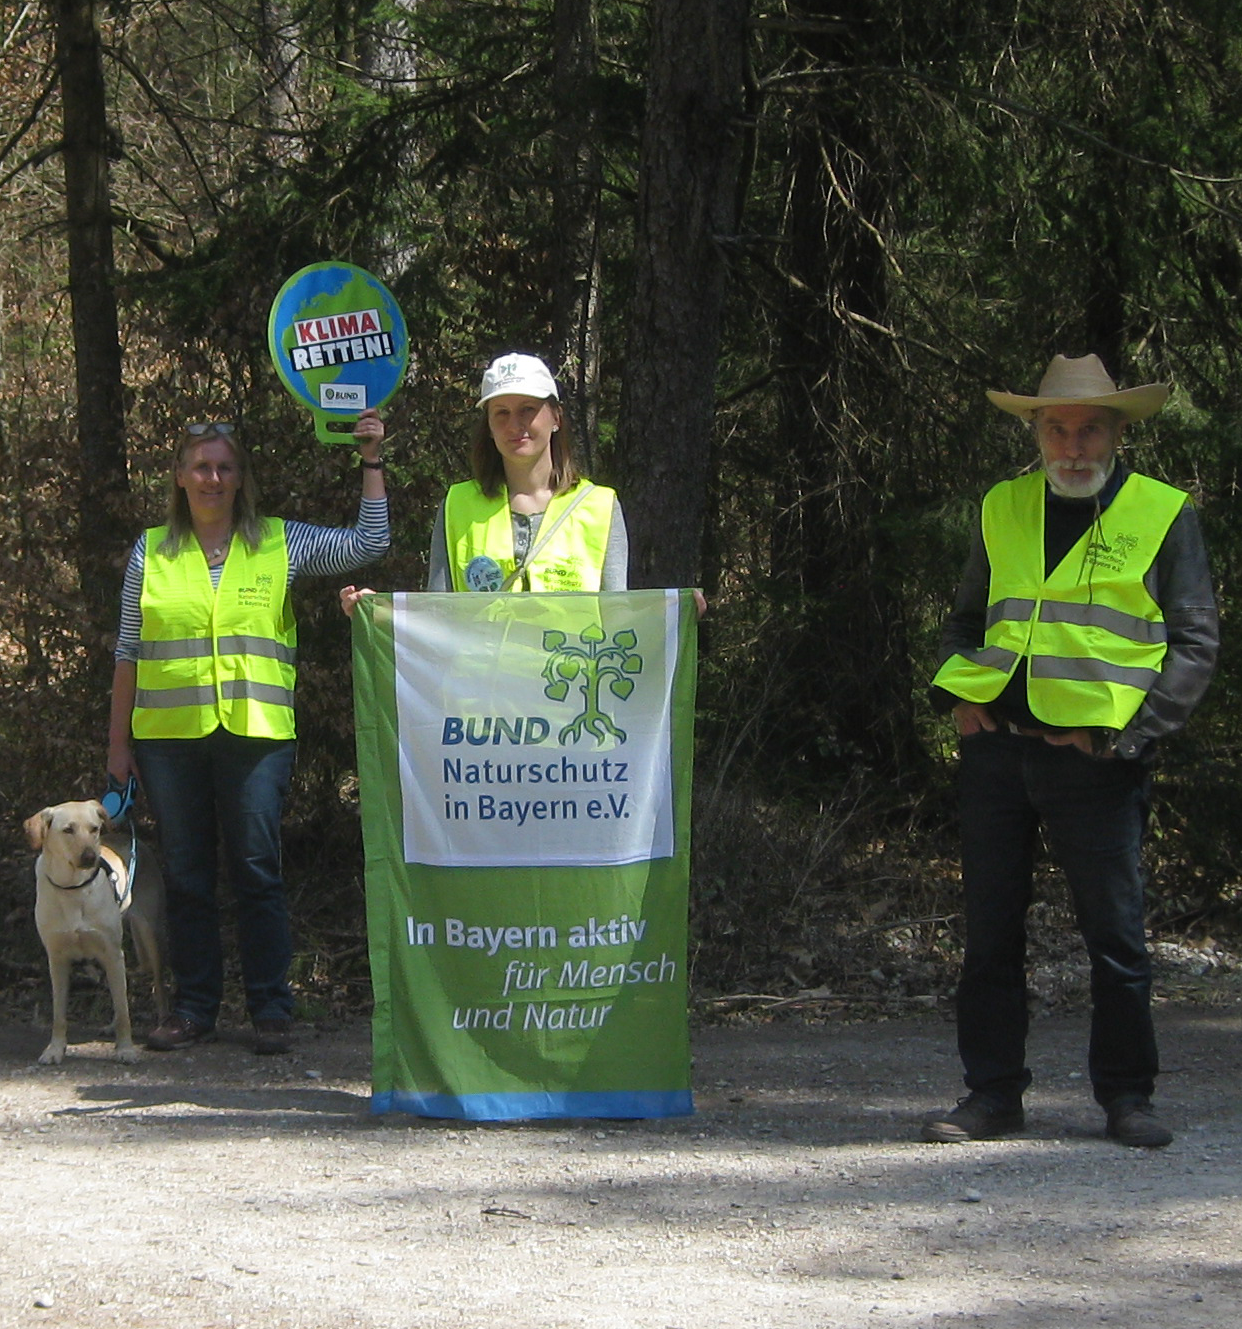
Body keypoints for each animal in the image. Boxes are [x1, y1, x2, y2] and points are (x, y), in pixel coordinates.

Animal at [26, 792, 167, 1063]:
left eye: (94, 829)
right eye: (68, 830)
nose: (90, 857)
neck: (73, 888)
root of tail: (135, 841)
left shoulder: (113, 953)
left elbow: (124, 1011)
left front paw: (126, 1049)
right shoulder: (57, 959)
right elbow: (59, 1014)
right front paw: (54, 1049)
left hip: (149, 936)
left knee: (157, 989)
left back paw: (163, 1024)